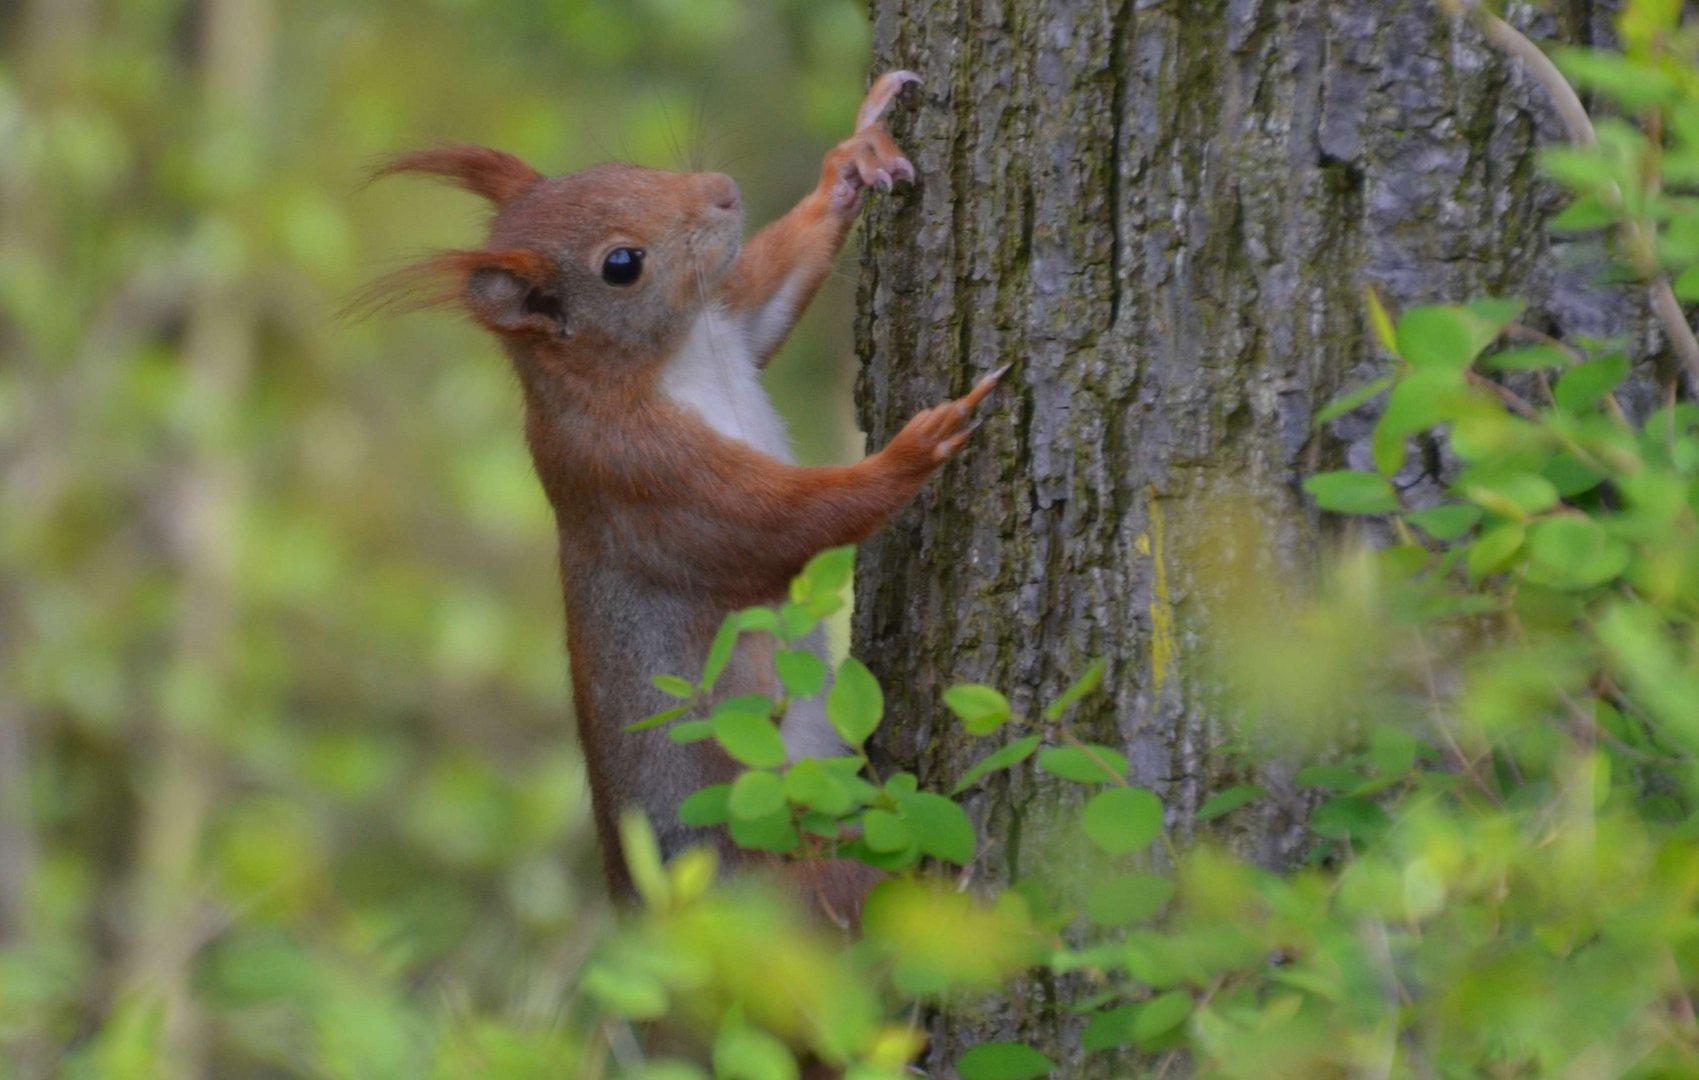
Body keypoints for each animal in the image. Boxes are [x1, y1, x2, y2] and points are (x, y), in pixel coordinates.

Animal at [370, 69, 999, 910]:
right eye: (621, 264)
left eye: (624, 166)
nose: (722, 191)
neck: (674, 359)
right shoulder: (639, 476)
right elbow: (779, 526)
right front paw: (917, 446)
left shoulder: (729, 327)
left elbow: (764, 294)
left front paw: (855, 153)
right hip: (797, 882)